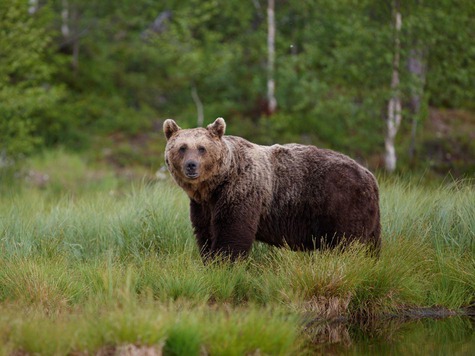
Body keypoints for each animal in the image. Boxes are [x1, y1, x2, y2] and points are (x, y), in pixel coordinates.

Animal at [165, 118, 382, 260]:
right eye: (182, 147)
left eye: (202, 148)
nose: (191, 165)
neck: (214, 185)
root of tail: (369, 175)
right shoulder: (203, 205)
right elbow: (205, 231)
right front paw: (210, 259)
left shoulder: (241, 191)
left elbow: (232, 230)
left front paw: (224, 263)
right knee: (372, 244)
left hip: (341, 202)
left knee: (348, 242)